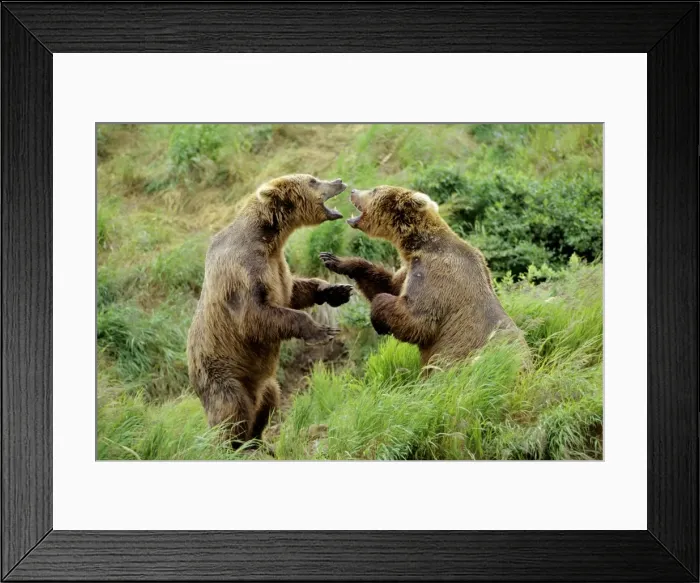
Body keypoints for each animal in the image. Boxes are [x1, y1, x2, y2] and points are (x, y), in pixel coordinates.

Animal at [187, 174, 353, 446]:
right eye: (313, 180)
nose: (338, 180)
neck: (269, 238)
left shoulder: (278, 265)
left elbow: (292, 292)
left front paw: (337, 289)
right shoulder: (244, 271)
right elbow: (254, 315)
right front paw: (322, 331)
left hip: (264, 382)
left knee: (269, 399)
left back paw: (259, 441)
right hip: (222, 375)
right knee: (232, 409)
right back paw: (235, 445)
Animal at [320, 185, 524, 366]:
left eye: (374, 190)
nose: (353, 191)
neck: (418, 245)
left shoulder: (435, 273)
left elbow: (418, 319)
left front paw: (379, 323)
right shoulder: (410, 268)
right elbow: (389, 285)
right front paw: (334, 260)